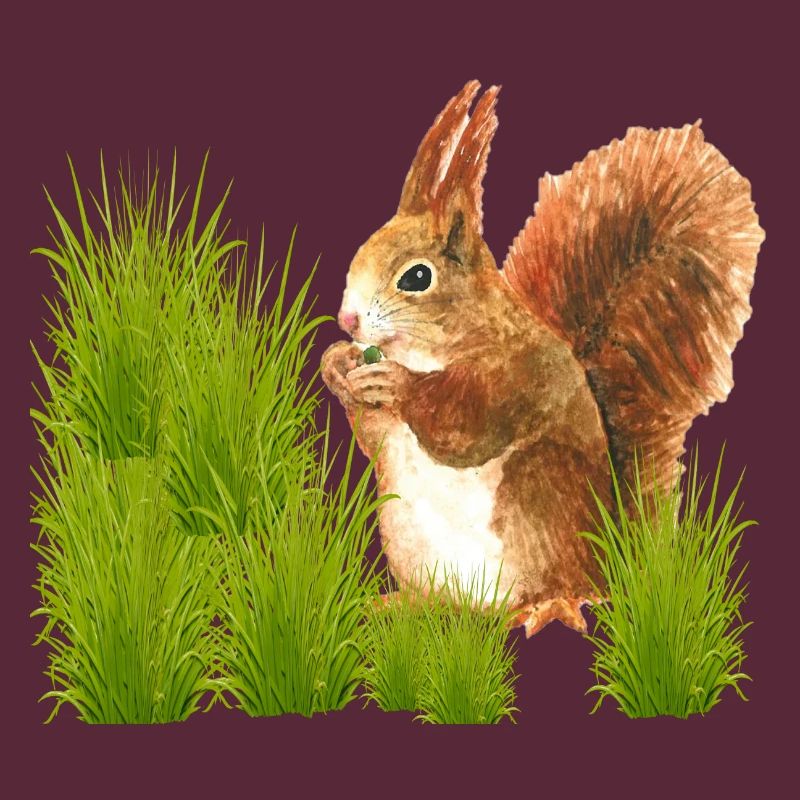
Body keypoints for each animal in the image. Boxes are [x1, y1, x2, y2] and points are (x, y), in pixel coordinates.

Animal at [321, 80, 764, 636]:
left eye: (417, 277)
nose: (348, 319)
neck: (435, 346)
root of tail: (608, 560)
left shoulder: (518, 374)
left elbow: (464, 425)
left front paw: (396, 383)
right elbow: (374, 436)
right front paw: (337, 366)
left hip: (538, 496)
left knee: (559, 588)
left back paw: (545, 606)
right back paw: (403, 605)